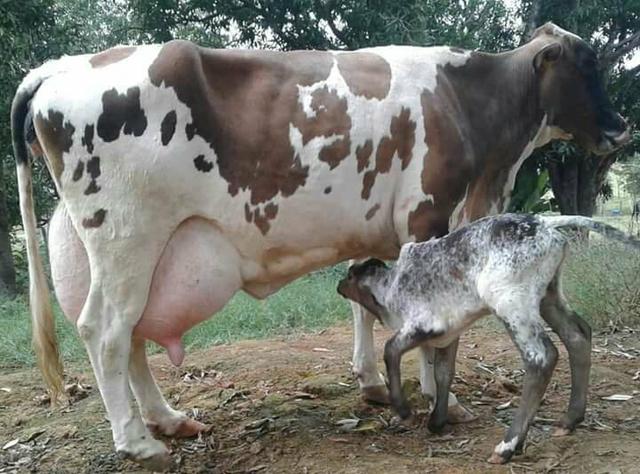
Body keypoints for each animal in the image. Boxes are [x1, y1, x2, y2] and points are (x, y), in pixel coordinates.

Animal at [338, 214, 636, 462]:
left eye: (350, 274)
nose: (339, 285)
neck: (391, 285)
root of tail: (544, 222)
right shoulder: (448, 334)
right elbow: (443, 373)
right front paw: (437, 421)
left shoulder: (421, 325)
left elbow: (390, 351)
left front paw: (403, 411)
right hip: (549, 296)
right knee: (577, 335)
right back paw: (569, 420)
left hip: (511, 303)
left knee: (542, 357)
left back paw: (508, 446)